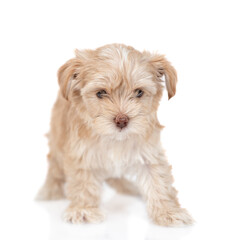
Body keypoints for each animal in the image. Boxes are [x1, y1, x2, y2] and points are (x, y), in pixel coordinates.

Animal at [37, 44, 193, 226]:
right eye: (101, 93)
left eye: (139, 92)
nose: (122, 120)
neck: (115, 140)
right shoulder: (81, 155)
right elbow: (82, 182)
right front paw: (83, 209)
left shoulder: (149, 153)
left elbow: (159, 181)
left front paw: (168, 212)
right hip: (57, 140)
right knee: (54, 168)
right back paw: (49, 191)